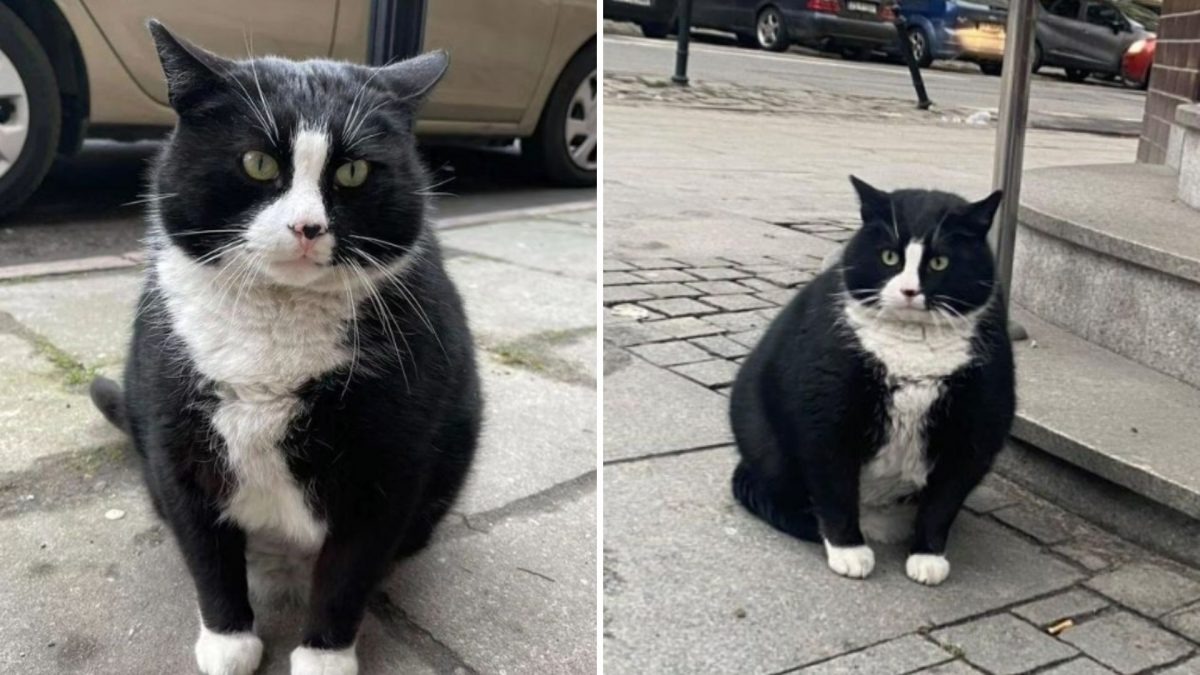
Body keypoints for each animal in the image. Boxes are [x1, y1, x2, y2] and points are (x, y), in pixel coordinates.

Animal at [90, 21, 482, 672]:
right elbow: (207, 553)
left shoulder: (388, 464)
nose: (306, 227)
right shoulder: (176, 445)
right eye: (257, 162)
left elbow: (348, 572)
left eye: (353, 173)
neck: (274, 325)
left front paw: (324, 655)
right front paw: (228, 641)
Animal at [729, 177, 1012, 583]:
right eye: (889, 257)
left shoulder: (978, 425)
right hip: (767, 445)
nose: (909, 291)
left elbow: (944, 500)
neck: (912, 347)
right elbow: (834, 485)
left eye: (940, 262)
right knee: (763, 485)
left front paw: (928, 556)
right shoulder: (825, 411)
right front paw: (848, 550)